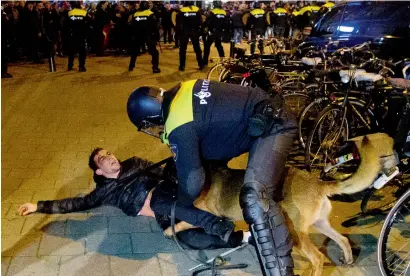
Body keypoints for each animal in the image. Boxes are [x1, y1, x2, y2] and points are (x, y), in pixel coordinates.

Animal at [164, 133, 398, 276]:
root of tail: (317, 182)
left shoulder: (204, 212)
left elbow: (183, 221)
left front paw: (169, 229)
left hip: (294, 233)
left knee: (318, 258)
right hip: (320, 224)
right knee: (342, 240)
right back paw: (348, 259)